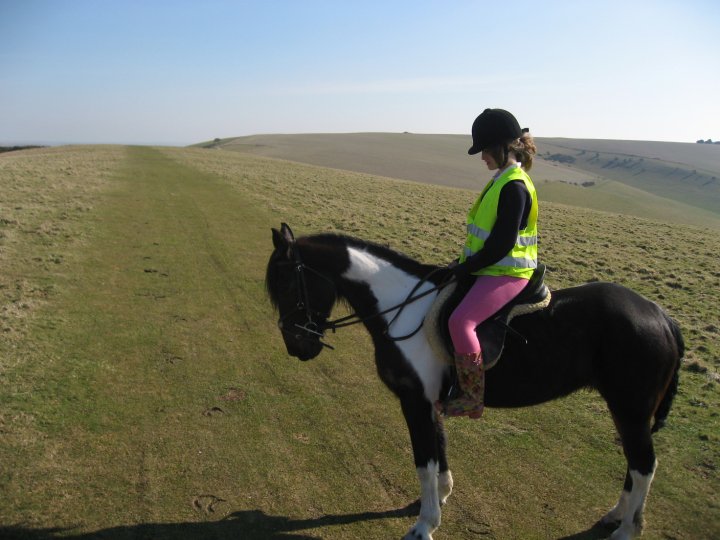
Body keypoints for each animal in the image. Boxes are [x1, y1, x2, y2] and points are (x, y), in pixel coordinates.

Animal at [265, 223, 683, 540]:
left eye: (287, 285)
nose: (295, 346)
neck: (400, 308)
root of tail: (661, 316)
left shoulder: (414, 401)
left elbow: (424, 460)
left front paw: (424, 525)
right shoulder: (429, 401)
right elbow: (439, 450)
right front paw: (438, 500)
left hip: (629, 410)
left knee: (644, 465)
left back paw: (626, 530)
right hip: (626, 412)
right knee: (635, 464)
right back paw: (616, 516)